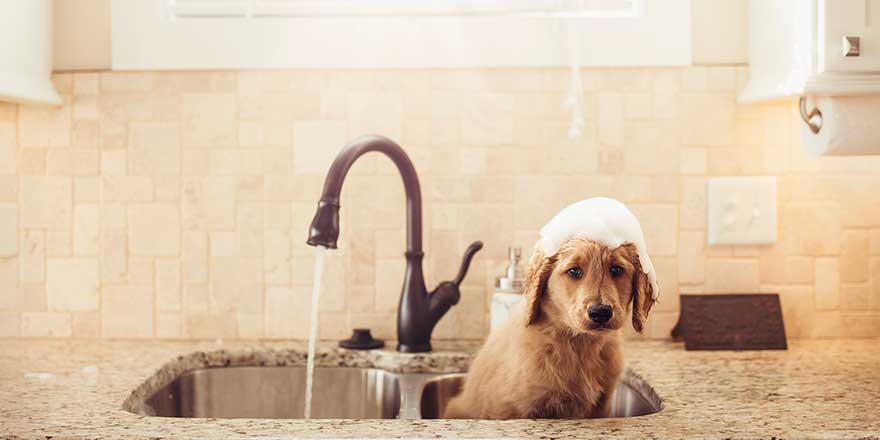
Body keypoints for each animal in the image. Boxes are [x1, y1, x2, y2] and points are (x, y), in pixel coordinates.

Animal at [444, 237, 656, 420]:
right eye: (574, 271)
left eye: (617, 269)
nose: (601, 313)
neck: (578, 343)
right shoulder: (518, 407)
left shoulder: (603, 404)